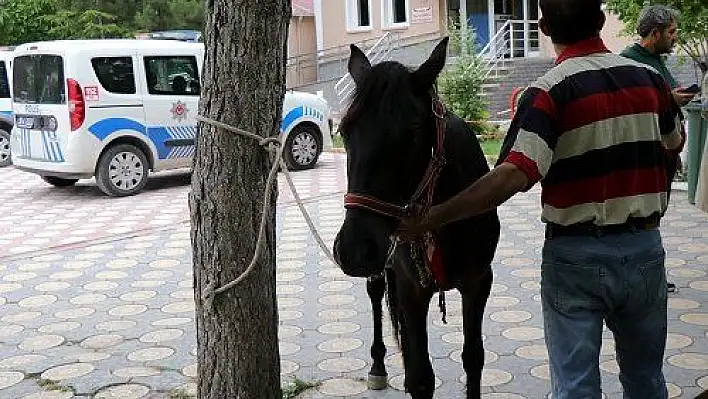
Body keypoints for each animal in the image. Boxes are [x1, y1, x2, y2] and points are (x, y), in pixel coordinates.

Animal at [334, 36, 500, 396]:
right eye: (343, 130)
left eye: (410, 131)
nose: (353, 251)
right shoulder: (411, 289)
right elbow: (421, 376)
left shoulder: (478, 282)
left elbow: (474, 358)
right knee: (376, 294)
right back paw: (378, 365)